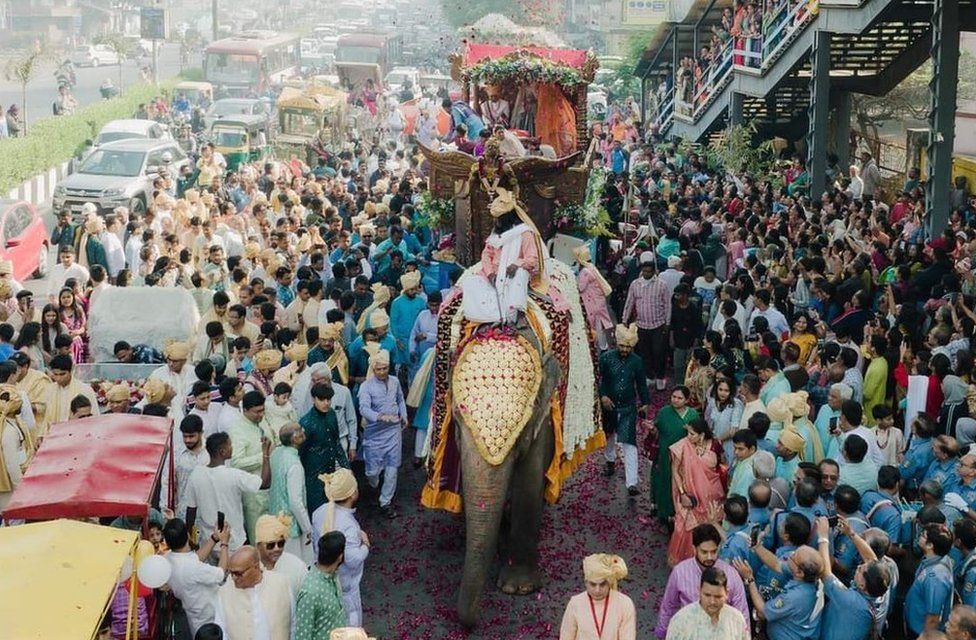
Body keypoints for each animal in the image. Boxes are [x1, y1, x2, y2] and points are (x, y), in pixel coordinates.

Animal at [452, 324, 564, 624]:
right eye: (456, 416)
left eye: (522, 428)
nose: (472, 621)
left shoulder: (541, 420)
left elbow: (529, 482)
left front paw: (518, 588)